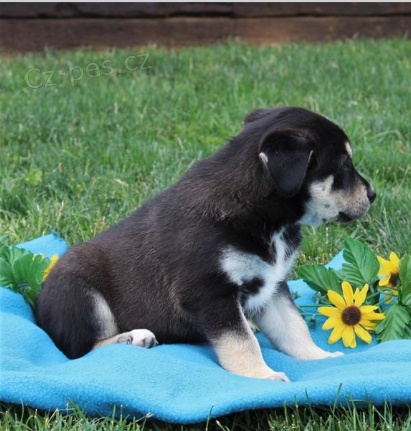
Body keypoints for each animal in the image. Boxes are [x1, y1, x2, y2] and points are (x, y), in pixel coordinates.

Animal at [35, 107, 376, 382]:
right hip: (80, 291)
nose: (373, 194)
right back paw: (133, 338)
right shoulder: (210, 292)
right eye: (345, 164)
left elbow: (293, 328)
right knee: (82, 350)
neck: (257, 209)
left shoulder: (272, 285)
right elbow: (242, 341)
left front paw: (318, 358)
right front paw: (261, 376)